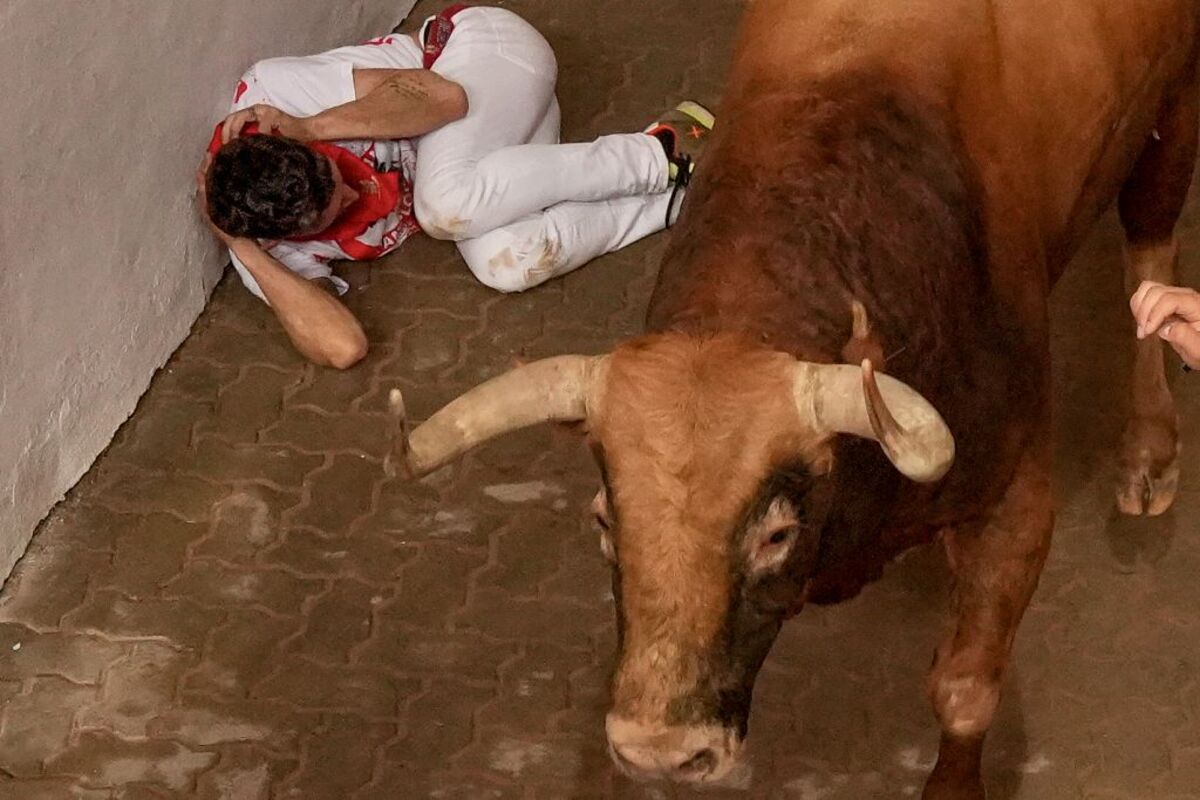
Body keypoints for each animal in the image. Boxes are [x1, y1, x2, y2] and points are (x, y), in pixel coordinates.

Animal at [396, 3, 1200, 796]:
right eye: (603, 521)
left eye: (776, 534)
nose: (662, 751)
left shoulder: (1016, 499)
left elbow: (966, 689)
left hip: (1172, 117)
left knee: (1149, 255)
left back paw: (1150, 449)